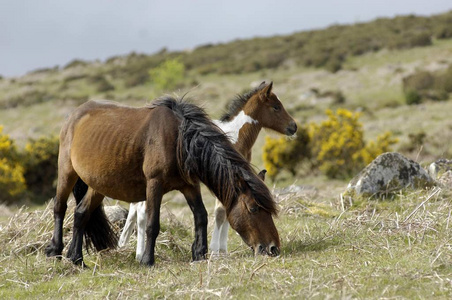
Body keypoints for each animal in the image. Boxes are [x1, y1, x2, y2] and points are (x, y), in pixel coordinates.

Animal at [46, 96, 278, 268]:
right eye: (254, 209)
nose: (273, 248)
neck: (179, 139)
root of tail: (75, 114)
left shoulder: (189, 186)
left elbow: (201, 216)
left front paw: (199, 254)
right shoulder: (154, 184)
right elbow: (152, 223)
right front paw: (147, 260)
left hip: (97, 185)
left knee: (81, 214)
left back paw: (77, 259)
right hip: (67, 172)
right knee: (60, 207)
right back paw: (55, 251)